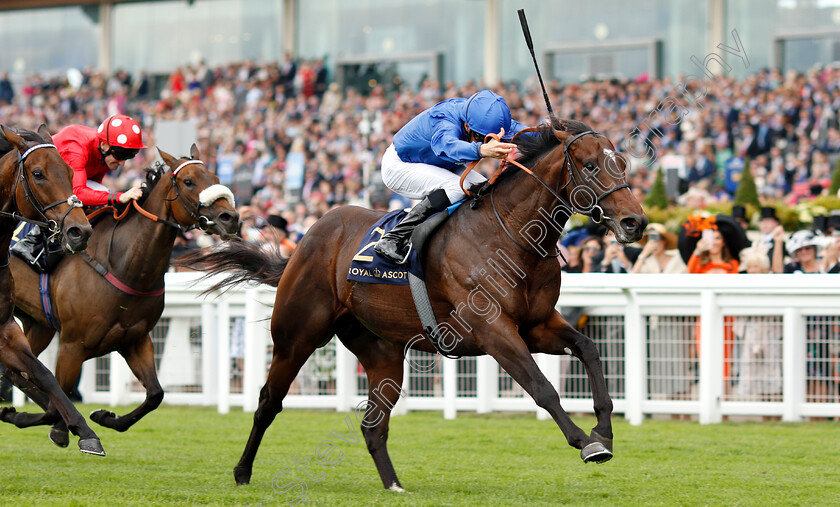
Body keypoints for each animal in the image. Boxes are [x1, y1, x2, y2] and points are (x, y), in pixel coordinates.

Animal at [0, 124, 104, 456]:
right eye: (38, 173)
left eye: (70, 172)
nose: (80, 231)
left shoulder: (6, 328)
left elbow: (44, 374)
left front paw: (85, 431)